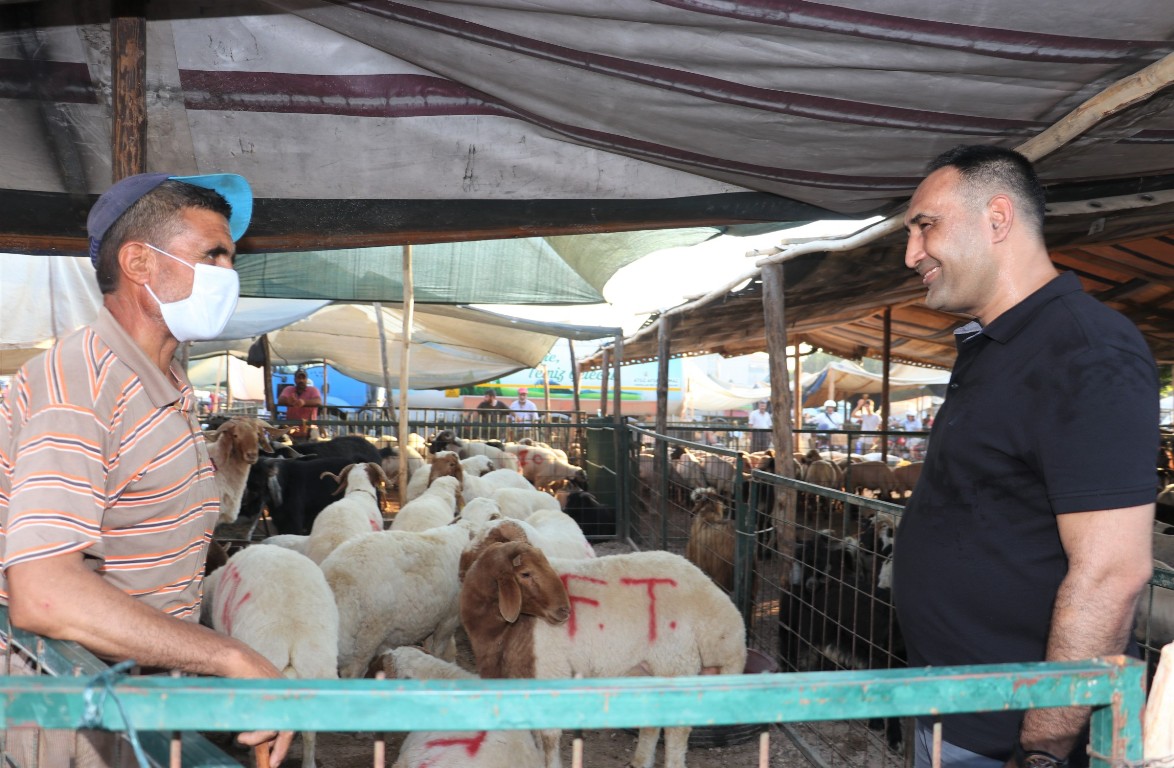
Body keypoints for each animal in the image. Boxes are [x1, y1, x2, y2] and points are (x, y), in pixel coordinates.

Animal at [319, 516, 483, 681]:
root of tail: (338, 577)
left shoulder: (436, 619)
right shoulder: (449, 618)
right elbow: (438, 649)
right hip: (367, 638)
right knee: (353, 671)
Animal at [457, 526, 741, 768]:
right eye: (525, 574)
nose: (564, 611)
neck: (503, 630)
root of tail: (723, 613)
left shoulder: (550, 670)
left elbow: (548, 737)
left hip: (675, 664)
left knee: (677, 727)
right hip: (650, 669)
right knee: (651, 721)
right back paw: (640, 761)